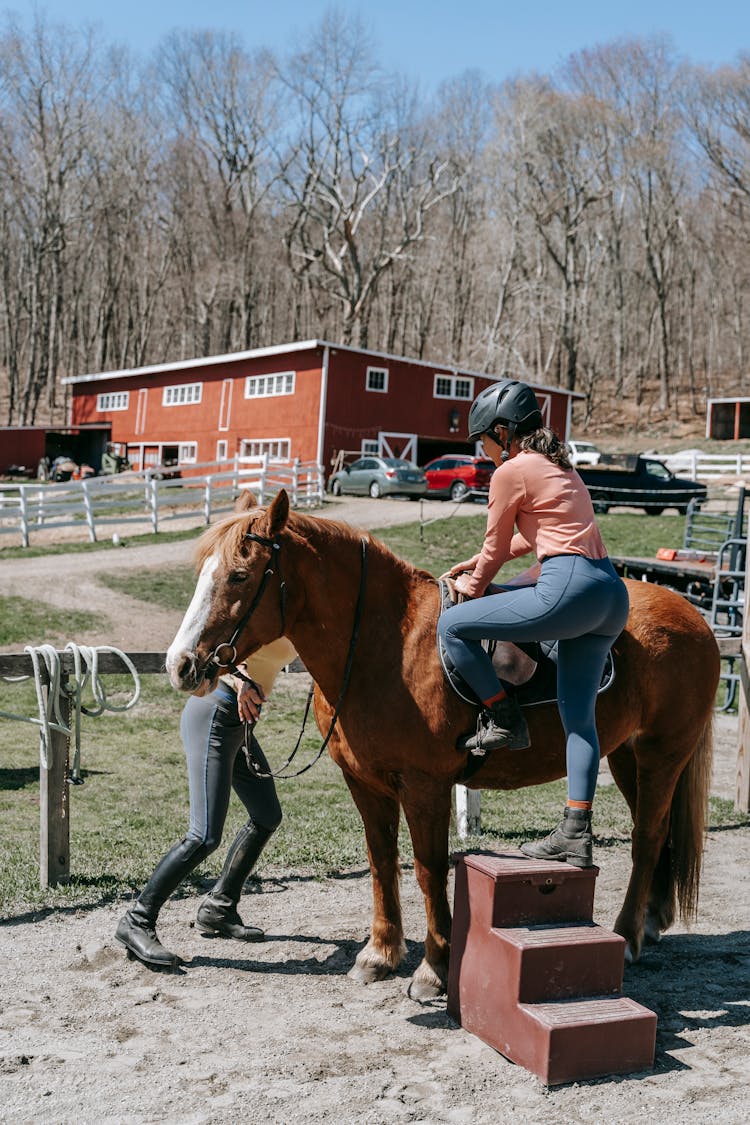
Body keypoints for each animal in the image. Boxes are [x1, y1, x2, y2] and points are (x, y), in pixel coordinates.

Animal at [167, 492, 719, 1003]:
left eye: (240, 576)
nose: (181, 665)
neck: (385, 646)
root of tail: (692, 615)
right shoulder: (365, 783)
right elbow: (382, 861)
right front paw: (380, 954)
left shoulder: (424, 785)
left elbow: (429, 870)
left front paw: (434, 968)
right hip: (626, 755)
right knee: (657, 831)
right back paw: (651, 920)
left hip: (663, 754)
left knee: (647, 837)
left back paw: (627, 936)